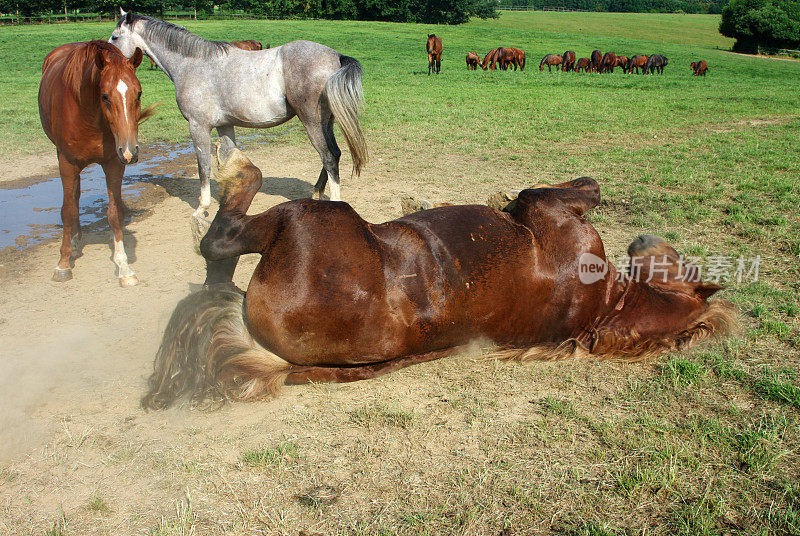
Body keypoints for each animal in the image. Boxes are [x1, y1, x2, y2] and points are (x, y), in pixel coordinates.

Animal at [38, 40, 153, 284]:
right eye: (105, 96)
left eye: (138, 93)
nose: (130, 151)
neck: (88, 114)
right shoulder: (67, 163)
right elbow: (68, 211)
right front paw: (63, 264)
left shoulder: (114, 163)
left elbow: (115, 213)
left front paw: (123, 266)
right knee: (73, 200)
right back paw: (73, 243)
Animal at [108, 10, 368, 232]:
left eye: (115, 37)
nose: (109, 62)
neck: (193, 65)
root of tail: (336, 56)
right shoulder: (225, 125)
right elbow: (228, 163)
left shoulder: (198, 126)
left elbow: (204, 167)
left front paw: (202, 209)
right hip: (326, 123)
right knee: (333, 154)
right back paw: (316, 194)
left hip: (312, 122)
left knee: (329, 156)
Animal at [144, 149, 736, 408]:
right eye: (682, 261)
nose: (644, 241)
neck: (606, 302)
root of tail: (271, 354)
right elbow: (581, 186)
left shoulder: (547, 207)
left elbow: (581, 187)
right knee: (217, 269)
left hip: (306, 218)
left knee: (220, 245)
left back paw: (236, 171)